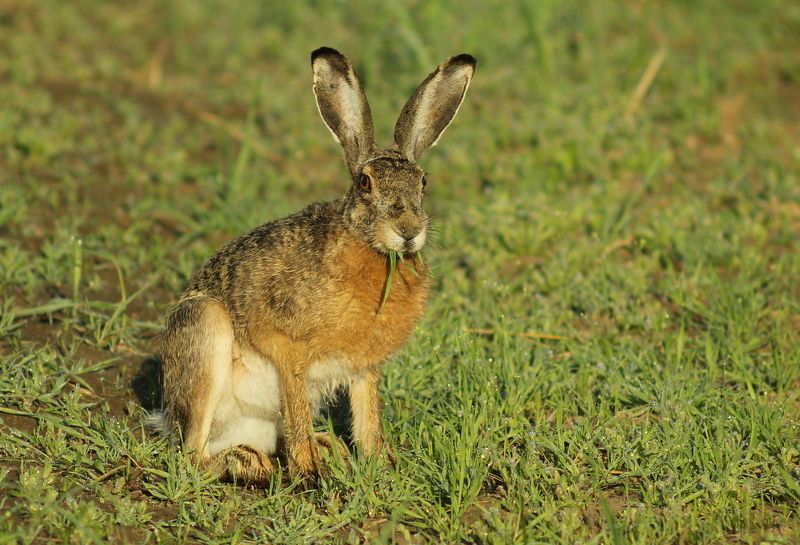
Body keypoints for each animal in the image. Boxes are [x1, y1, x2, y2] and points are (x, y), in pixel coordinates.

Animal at [152, 47, 476, 484]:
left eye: (423, 182)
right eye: (365, 184)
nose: (408, 230)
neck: (367, 247)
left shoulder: (363, 368)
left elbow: (367, 416)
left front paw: (381, 464)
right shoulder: (286, 347)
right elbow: (297, 411)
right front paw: (310, 472)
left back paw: (326, 448)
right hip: (205, 329)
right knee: (192, 456)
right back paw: (250, 463)